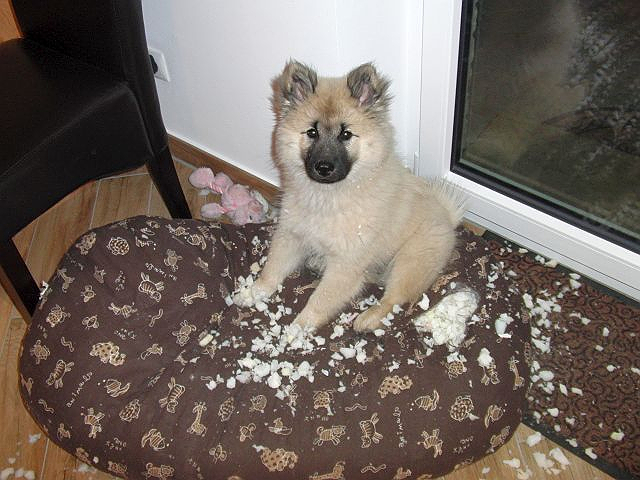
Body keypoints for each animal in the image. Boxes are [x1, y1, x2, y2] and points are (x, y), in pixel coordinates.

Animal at [234, 60, 465, 332]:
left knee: (394, 299)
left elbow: (320, 299)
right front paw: (253, 292)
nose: (323, 167)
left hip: (410, 261)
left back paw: (368, 319)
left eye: (345, 135)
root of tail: (447, 217)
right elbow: (272, 269)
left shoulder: (345, 265)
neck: (328, 196)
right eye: (312, 133)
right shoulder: (290, 236)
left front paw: (297, 328)